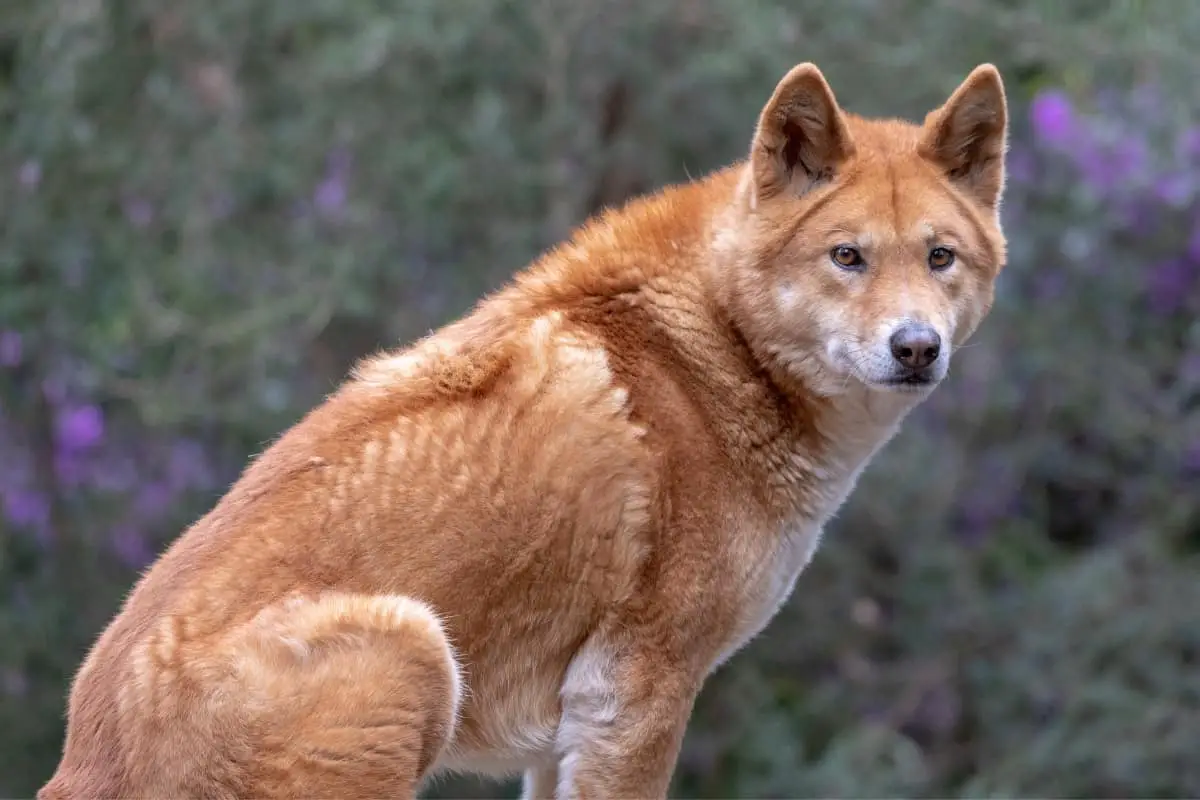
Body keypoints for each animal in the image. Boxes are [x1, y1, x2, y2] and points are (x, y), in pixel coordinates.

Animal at [42, 64, 1008, 800]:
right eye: (847, 256)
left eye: (939, 257)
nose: (916, 347)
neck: (718, 350)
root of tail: (81, 760)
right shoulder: (636, 697)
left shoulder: (570, 734)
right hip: (415, 650)